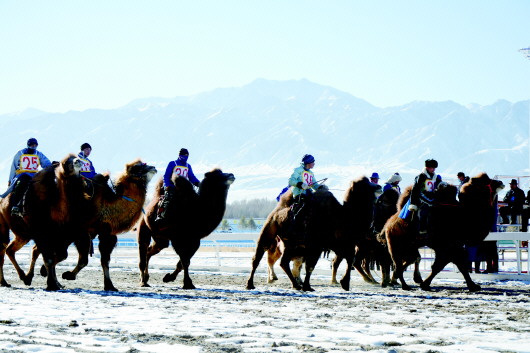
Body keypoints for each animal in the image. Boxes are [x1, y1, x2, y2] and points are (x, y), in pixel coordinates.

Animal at [245, 176, 382, 292]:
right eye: (364, 184)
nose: (379, 186)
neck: (343, 217)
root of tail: (277, 211)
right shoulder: (317, 246)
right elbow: (311, 266)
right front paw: (308, 287)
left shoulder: (340, 244)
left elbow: (349, 259)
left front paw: (344, 283)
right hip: (269, 232)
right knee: (257, 257)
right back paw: (250, 284)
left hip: (290, 243)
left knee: (283, 262)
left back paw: (295, 285)